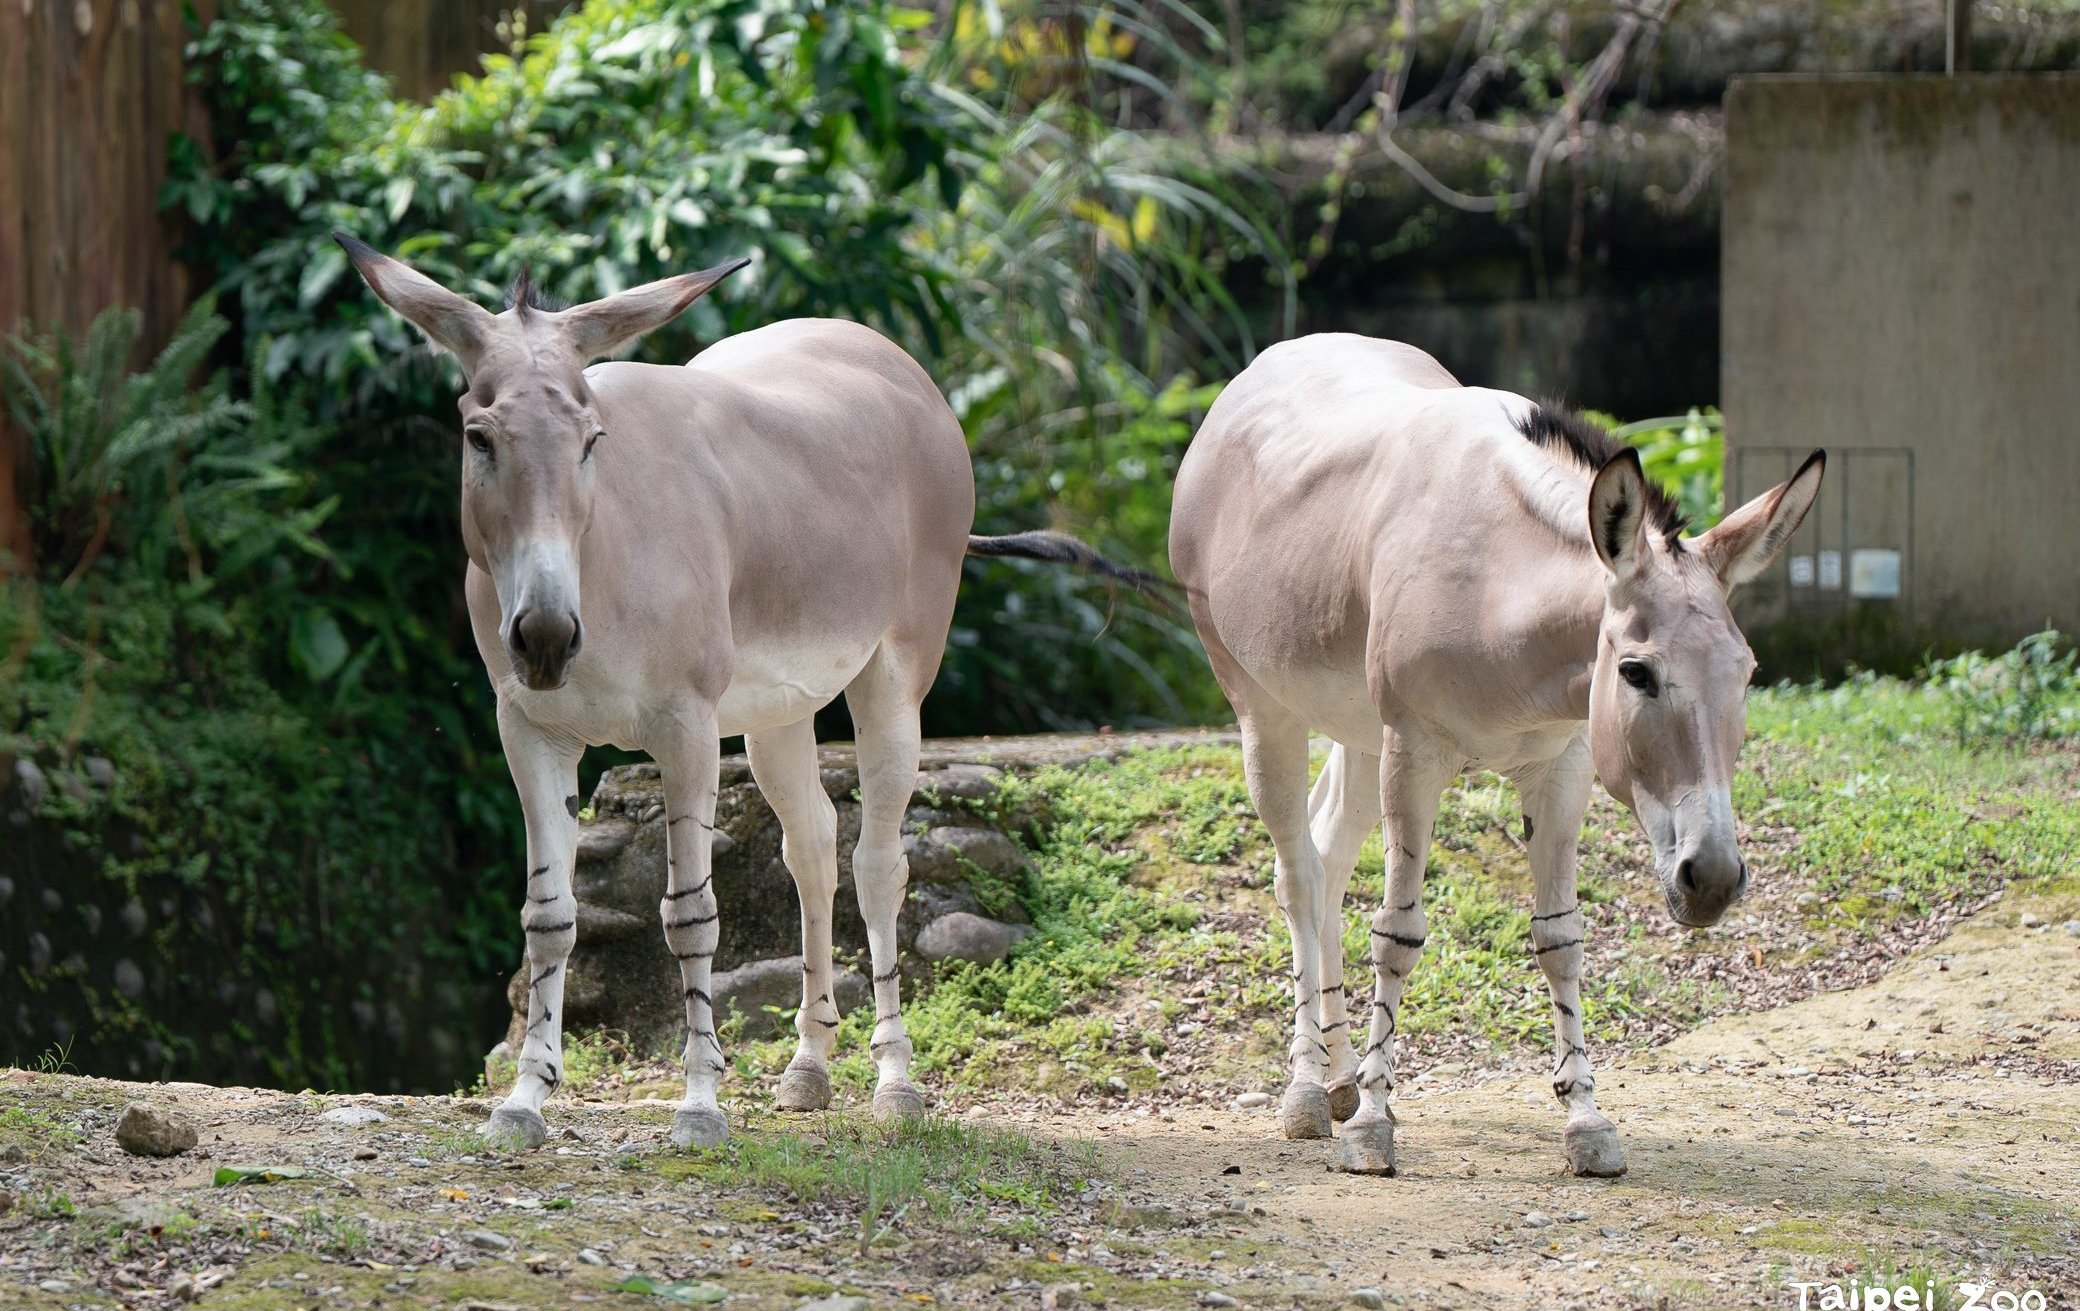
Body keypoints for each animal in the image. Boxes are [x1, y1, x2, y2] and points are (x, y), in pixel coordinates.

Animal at [1169, 333, 1822, 1177]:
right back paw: (1312, 1090)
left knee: (1328, 855)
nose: (1709, 881)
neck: (1499, 589)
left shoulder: (1563, 765)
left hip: (1356, 729)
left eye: (1747, 674)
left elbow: (1561, 938)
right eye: (1636, 672)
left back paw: (1341, 1074)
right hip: (1265, 709)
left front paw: (1586, 1121)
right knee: (1300, 876)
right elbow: (1399, 934)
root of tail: (1255, 373)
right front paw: (1375, 1127)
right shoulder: (1414, 753)